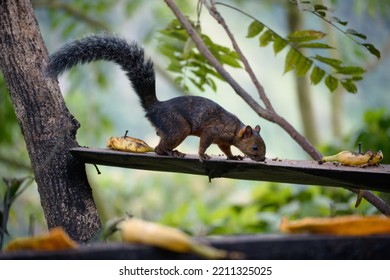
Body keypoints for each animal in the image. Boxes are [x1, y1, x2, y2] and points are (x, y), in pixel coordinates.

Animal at [45, 34, 266, 162]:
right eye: (255, 147)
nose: (263, 159)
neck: (234, 128)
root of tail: (155, 107)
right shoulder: (213, 130)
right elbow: (205, 142)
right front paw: (203, 155)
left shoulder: (223, 140)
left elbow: (225, 149)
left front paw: (234, 156)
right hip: (178, 127)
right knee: (160, 148)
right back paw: (171, 152)